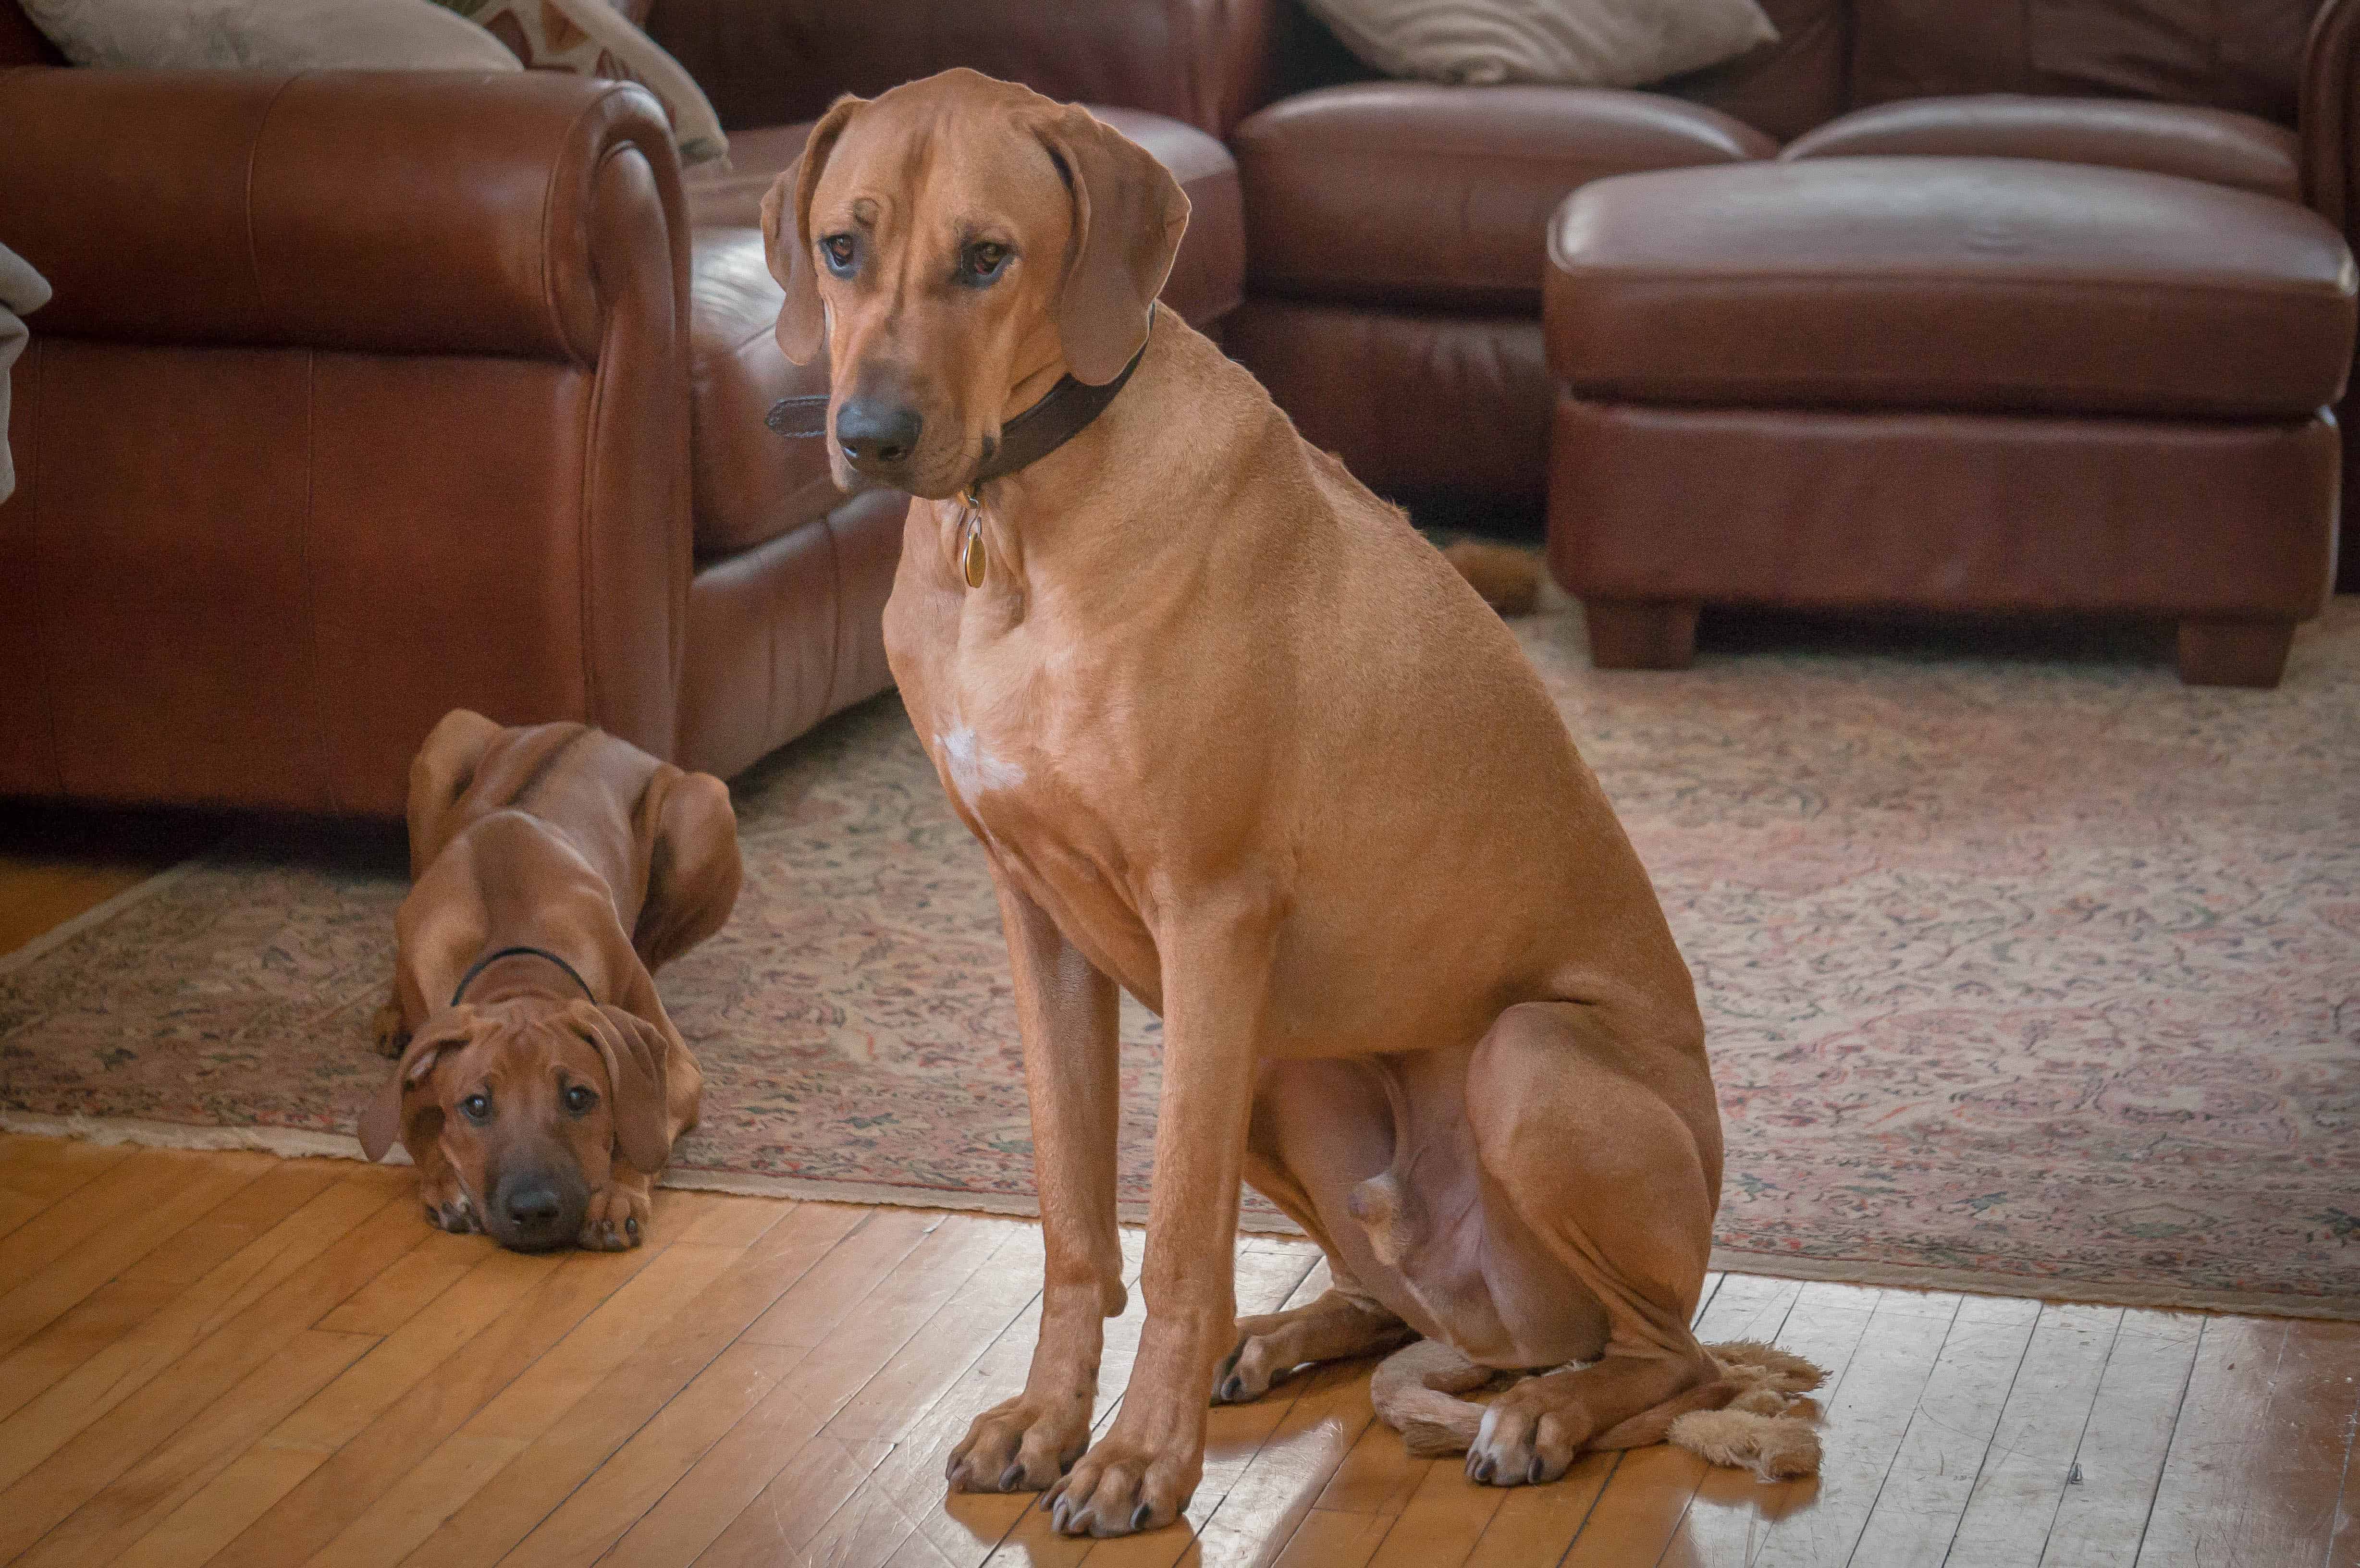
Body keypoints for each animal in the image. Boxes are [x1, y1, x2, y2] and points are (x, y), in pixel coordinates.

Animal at [356, 708, 736, 1247]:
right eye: (476, 1105)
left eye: (578, 1097)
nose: (535, 1211)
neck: (516, 958)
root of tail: (589, 729)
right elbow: (418, 1128)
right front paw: (445, 1186)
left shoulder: (678, 1067)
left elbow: (647, 1120)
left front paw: (617, 1193)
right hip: (445, 746)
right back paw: (392, 1015)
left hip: (704, 805)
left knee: (654, 943)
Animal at [774, 67, 1737, 1540]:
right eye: (841, 247)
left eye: (987, 258)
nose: (869, 440)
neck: (1015, 522)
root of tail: (1506, 1324)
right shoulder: (1039, 921)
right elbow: (1071, 1210)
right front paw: (1047, 1420)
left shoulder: (1212, 919)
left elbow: (1176, 1234)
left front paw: (1135, 1459)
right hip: (1287, 1069)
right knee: (1405, 1309)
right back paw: (1290, 1338)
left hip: (1520, 1063)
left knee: (1669, 1356)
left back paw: (1545, 1416)